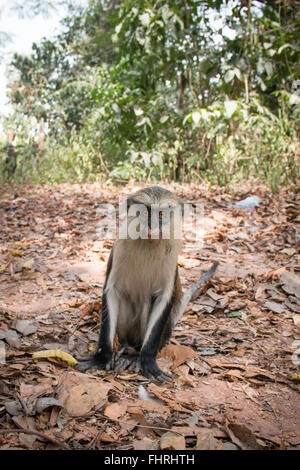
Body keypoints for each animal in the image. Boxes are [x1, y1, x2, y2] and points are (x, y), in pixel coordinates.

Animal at [77, 185, 218, 380]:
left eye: (161, 215)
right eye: (145, 213)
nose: (152, 228)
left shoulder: (172, 257)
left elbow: (164, 297)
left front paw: (147, 361)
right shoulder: (119, 248)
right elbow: (112, 291)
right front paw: (102, 357)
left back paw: (133, 355)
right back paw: (124, 347)